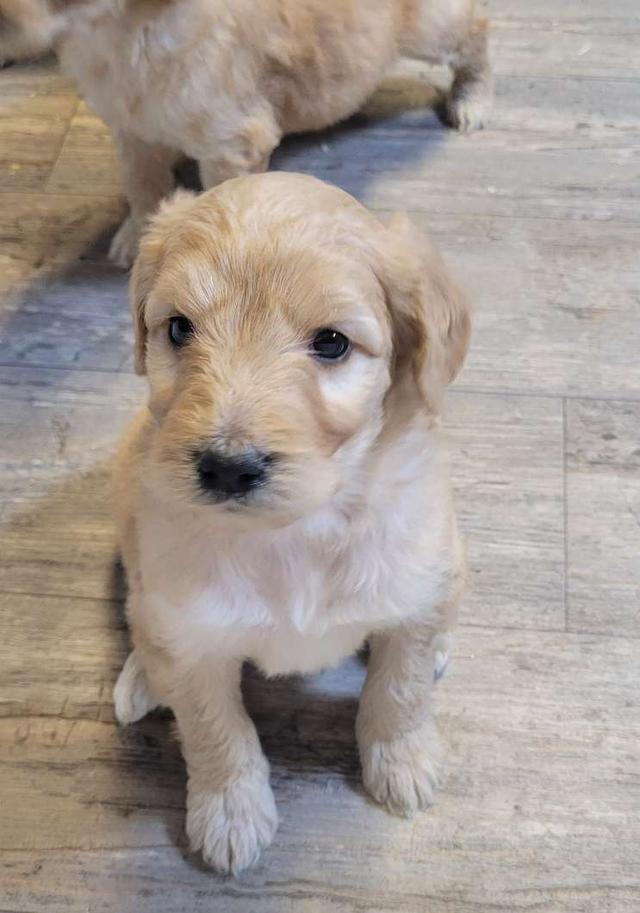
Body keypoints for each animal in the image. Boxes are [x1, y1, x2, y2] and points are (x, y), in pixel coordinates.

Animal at [0, 0, 492, 266]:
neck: (119, 32)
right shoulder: (131, 129)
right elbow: (142, 184)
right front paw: (139, 235)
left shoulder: (232, 142)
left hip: (429, 28)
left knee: (475, 30)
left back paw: (472, 101)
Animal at [110, 171, 470, 876]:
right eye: (179, 328)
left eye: (331, 342)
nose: (227, 468)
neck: (296, 533)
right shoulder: (192, 633)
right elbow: (214, 727)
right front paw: (230, 811)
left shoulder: (413, 579)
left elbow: (401, 686)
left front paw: (403, 762)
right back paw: (141, 675)